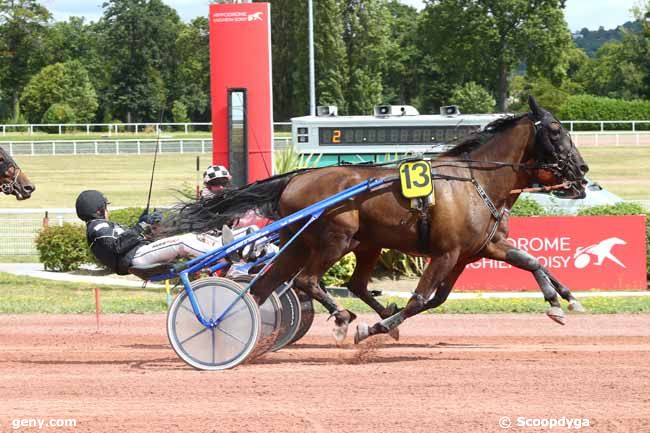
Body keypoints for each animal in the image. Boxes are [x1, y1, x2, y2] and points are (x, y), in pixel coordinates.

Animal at [166, 96, 588, 342]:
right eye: (555, 130)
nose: (582, 171)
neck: (476, 180)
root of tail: (295, 178)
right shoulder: (446, 253)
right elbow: (420, 300)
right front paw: (375, 328)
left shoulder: (478, 250)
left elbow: (531, 262)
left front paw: (561, 300)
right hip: (334, 239)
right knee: (307, 281)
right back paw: (341, 317)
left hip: (342, 243)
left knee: (283, 284)